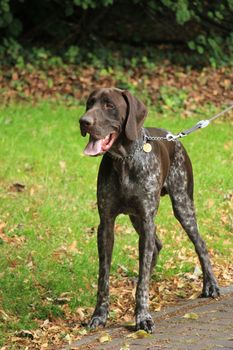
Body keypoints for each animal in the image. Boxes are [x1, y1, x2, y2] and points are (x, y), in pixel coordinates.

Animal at [79, 87, 219, 334]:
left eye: (109, 105)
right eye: (89, 104)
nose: (83, 121)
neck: (125, 160)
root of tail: (173, 137)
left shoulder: (147, 219)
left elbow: (142, 280)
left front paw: (142, 316)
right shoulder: (106, 224)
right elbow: (104, 278)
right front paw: (99, 316)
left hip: (182, 205)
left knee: (200, 244)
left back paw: (210, 284)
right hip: (137, 218)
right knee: (156, 247)